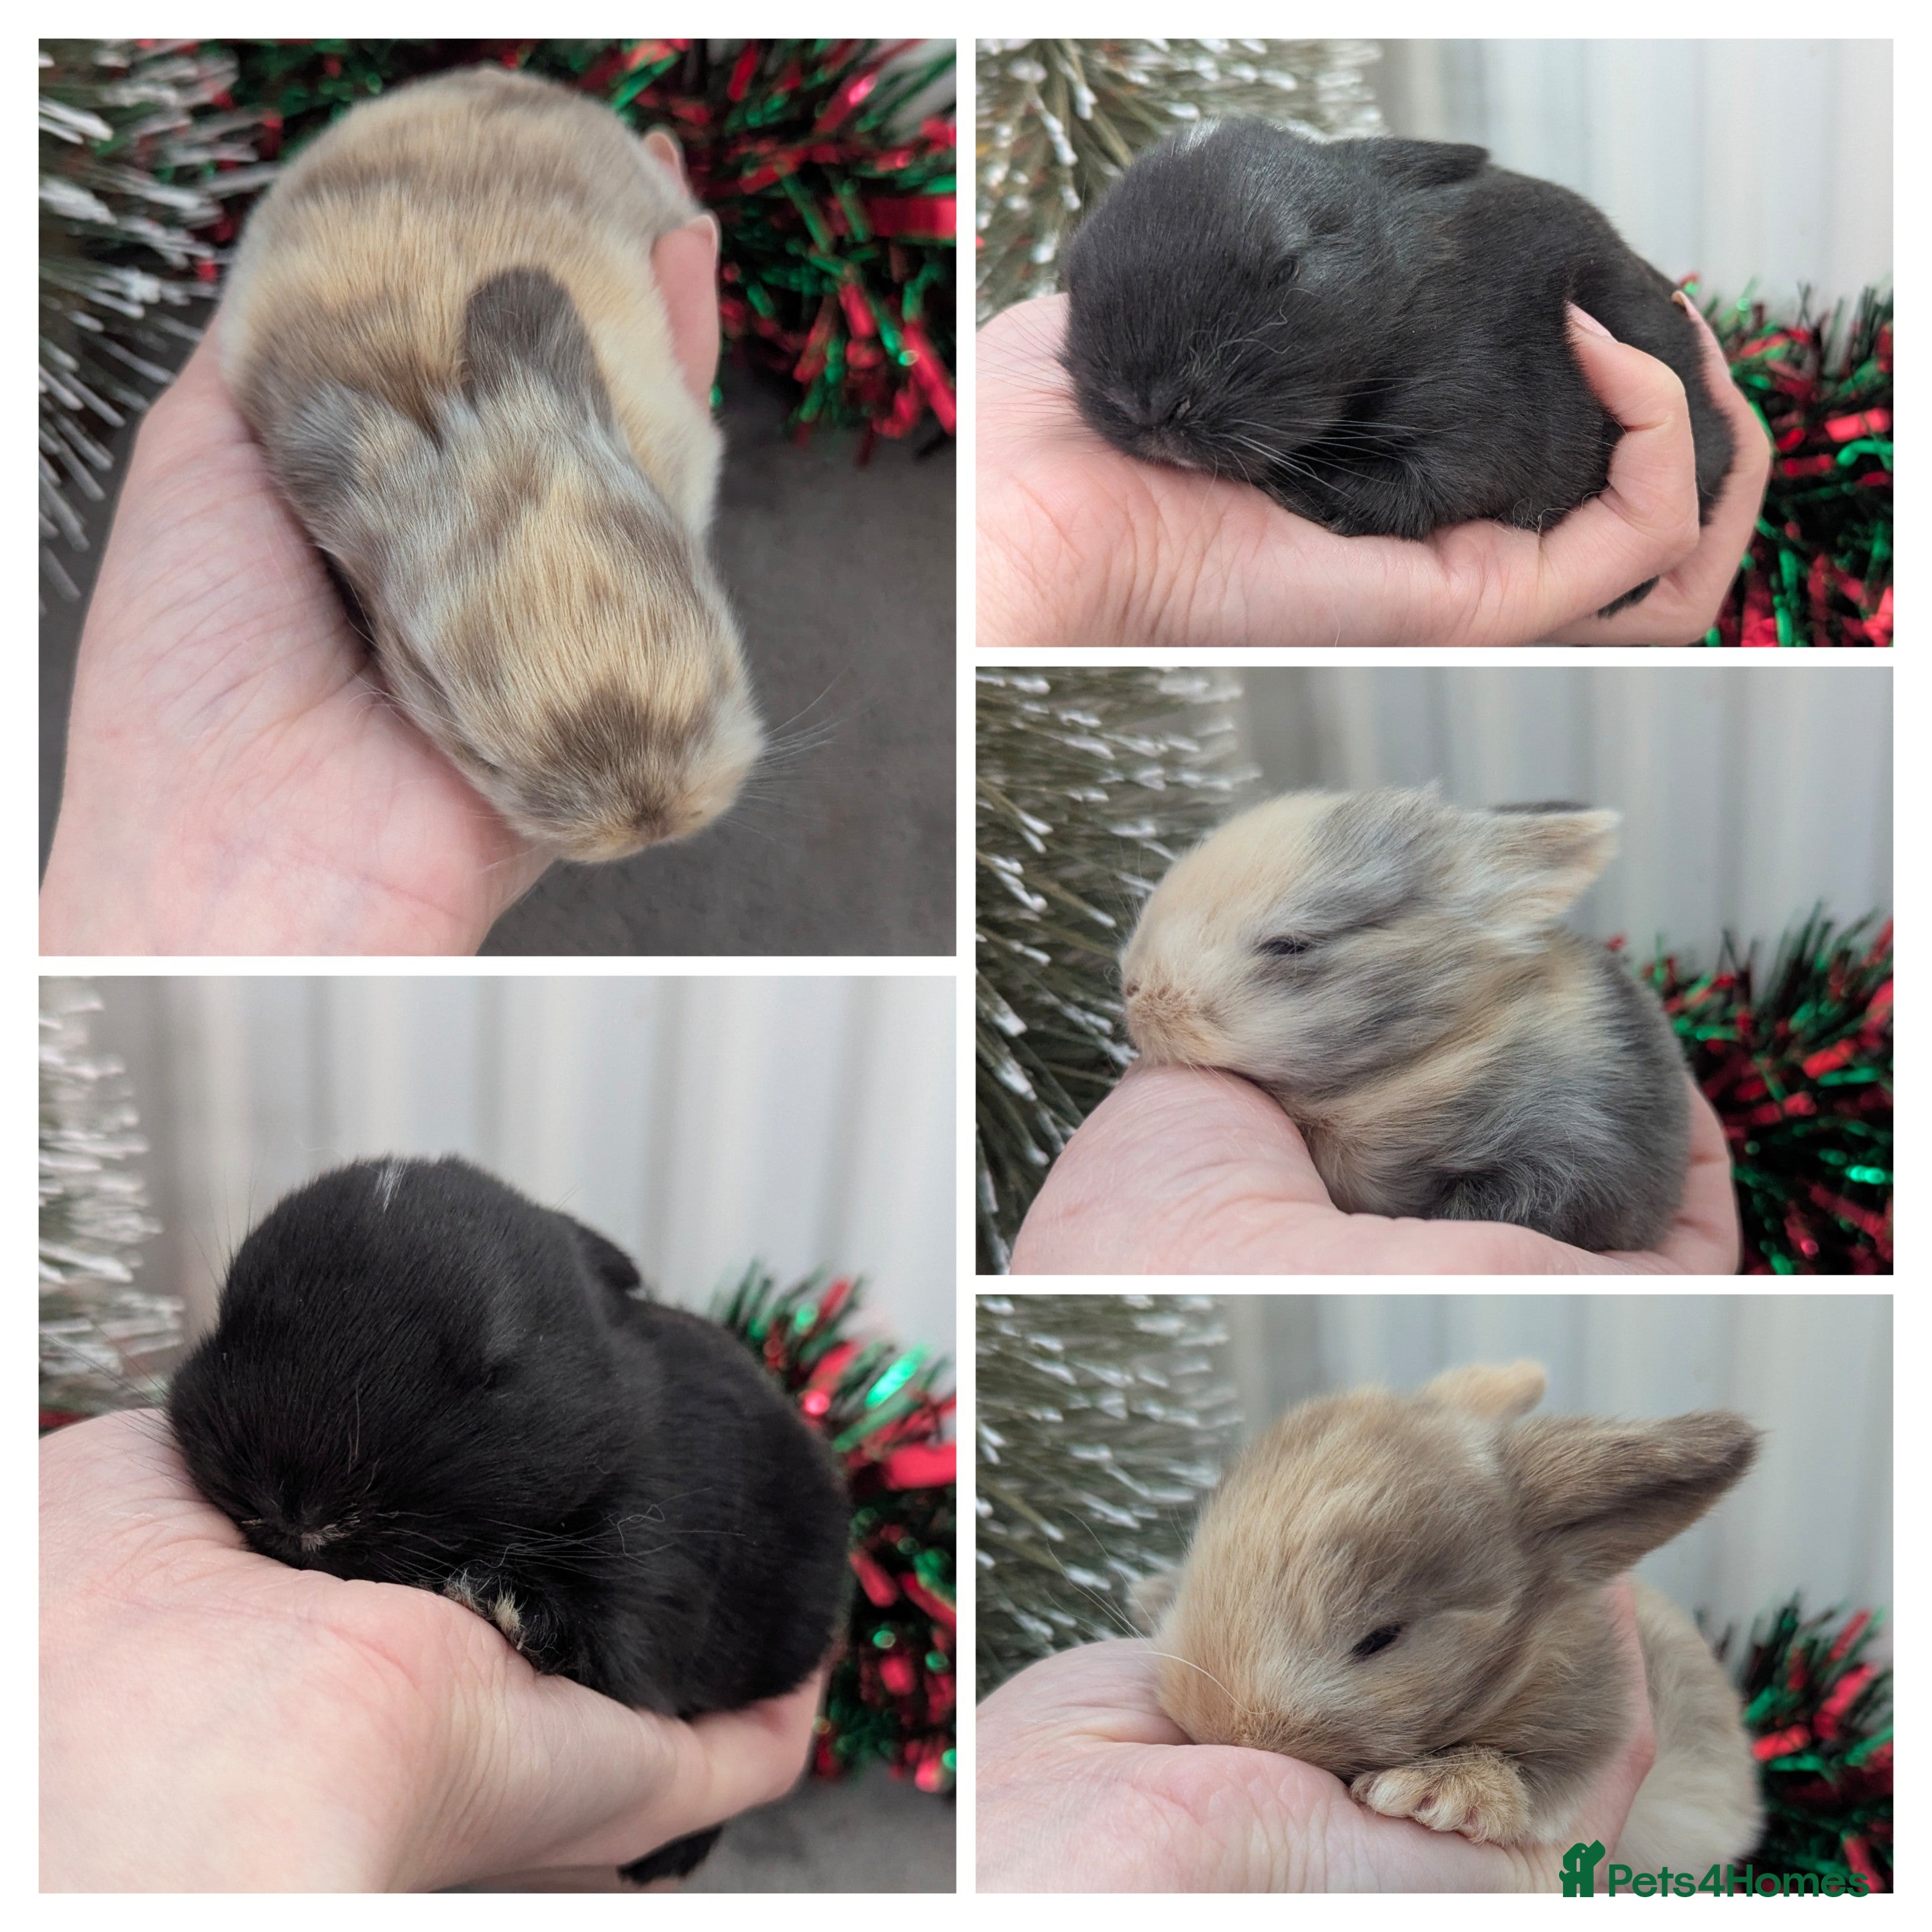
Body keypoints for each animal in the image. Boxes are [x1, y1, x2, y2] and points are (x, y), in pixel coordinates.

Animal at [1061, 120, 1735, 614]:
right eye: (1073, 273)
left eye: (1287, 267)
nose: (1147, 405)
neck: (1394, 301)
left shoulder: (1473, 421)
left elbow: (1420, 486)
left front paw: (1307, 494)